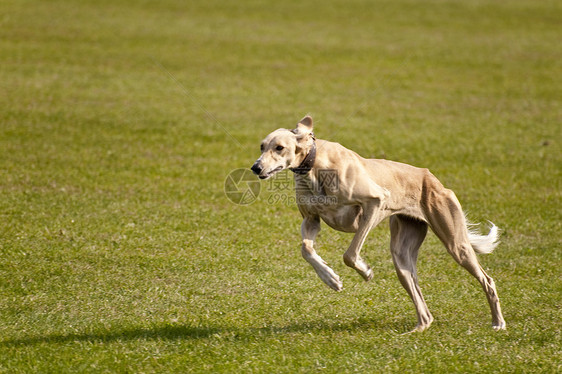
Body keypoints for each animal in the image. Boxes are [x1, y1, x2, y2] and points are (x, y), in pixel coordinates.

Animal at [249, 115, 504, 332]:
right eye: (261, 146)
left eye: (279, 147)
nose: (256, 167)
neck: (314, 165)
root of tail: (433, 179)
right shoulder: (311, 220)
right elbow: (306, 249)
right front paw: (331, 279)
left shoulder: (374, 202)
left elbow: (350, 254)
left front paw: (365, 271)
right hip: (402, 256)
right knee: (423, 307)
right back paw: (417, 330)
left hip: (456, 244)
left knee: (488, 280)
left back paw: (498, 323)